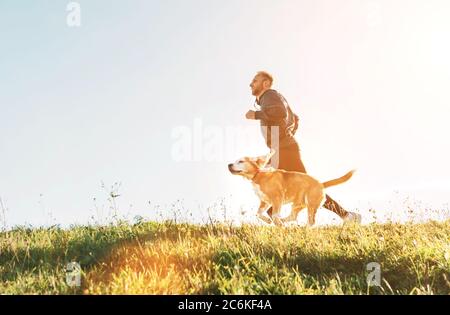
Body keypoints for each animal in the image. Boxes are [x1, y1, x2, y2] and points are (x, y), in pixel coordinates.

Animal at [229, 151, 358, 227]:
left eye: (241, 161)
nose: (229, 164)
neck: (259, 175)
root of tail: (321, 184)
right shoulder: (265, 201)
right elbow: (258, 213)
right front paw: (269, 221)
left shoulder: (277, 199)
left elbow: (274, 214)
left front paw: (276, 221)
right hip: (297, 205)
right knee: (293, 216)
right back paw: (284, 221)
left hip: (311, 204)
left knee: (311, 221)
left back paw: (304, 229)